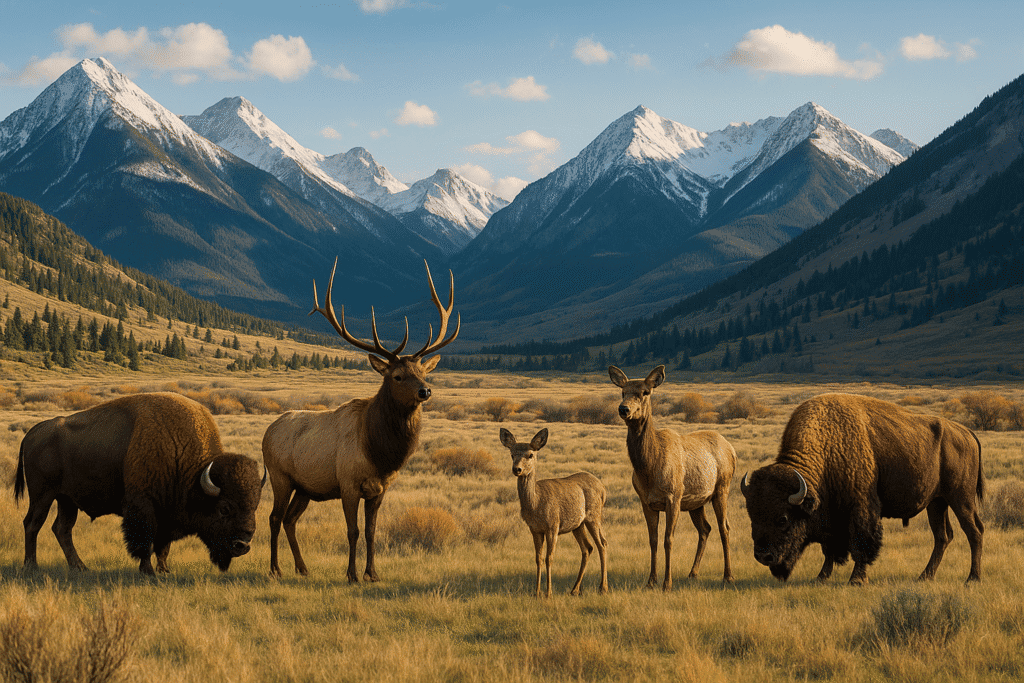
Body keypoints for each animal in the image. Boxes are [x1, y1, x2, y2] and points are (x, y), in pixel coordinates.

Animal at [14, 392, 266, 575]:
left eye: (254, 506)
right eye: (224, 508)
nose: (242, 546)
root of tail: (33, 433)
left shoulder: (167, 514)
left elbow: (163, 546)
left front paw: (165, 570)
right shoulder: (143, 507)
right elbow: (146, 541)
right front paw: (148, 571)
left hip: (67, 500)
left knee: (62, 529)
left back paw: (80, 567)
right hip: (42, 496)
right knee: (32, 524)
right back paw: (31, 565)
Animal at [263, 257, 459, 582]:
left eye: (423, 372)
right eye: (397, 376)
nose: (426, 391)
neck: (380, 454)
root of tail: (267, 433)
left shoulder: (380, 489)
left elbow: (370, 532)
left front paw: (372, 573)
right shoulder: (348, 484)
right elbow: (352, 531)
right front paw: (352, 574)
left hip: (305, 487)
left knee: (290, 520)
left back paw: (302, 568)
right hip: (280, 476)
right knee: (275, 517)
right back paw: (276, 569)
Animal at [499, 427, 609, 598]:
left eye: (530, 454)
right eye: (512, 454)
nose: (517, 469)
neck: (535, 503)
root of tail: (603, 489)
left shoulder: (553, 525)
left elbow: (549, 558)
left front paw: (548, 593)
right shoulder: (535, 529)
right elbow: (538, 558)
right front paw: (536, 592)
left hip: (594, 515)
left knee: (602, 544)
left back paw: (603, 588)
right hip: (577, 525)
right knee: (587, 548)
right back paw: (575, 589)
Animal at [608, 365, 736, 589]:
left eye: (645, 392)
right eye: (623, 392)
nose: (624, 409)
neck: (649, 471)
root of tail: (733, 450)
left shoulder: (673, 496)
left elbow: (668, 539)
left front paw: (667, 583)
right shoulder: (646, 501)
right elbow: (653, 540)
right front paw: (651, 581)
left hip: (722, 488)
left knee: (724, 527)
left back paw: (727, 576)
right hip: (696, 502)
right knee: (705, 528)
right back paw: (692, 573)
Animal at [741, 393, 984, 585]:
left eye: (783, 519)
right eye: (751, 516)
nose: (763, 556)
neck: (827, 448)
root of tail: (967, 432)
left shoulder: (860, 508)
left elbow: (861, 543)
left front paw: (857, 580)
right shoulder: (830, 514)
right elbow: (828, 548)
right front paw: (821, 577)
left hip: (961, 499)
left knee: (974, 532)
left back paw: (972, 578)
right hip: (936, 503)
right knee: (943, 536)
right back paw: (925, 576)